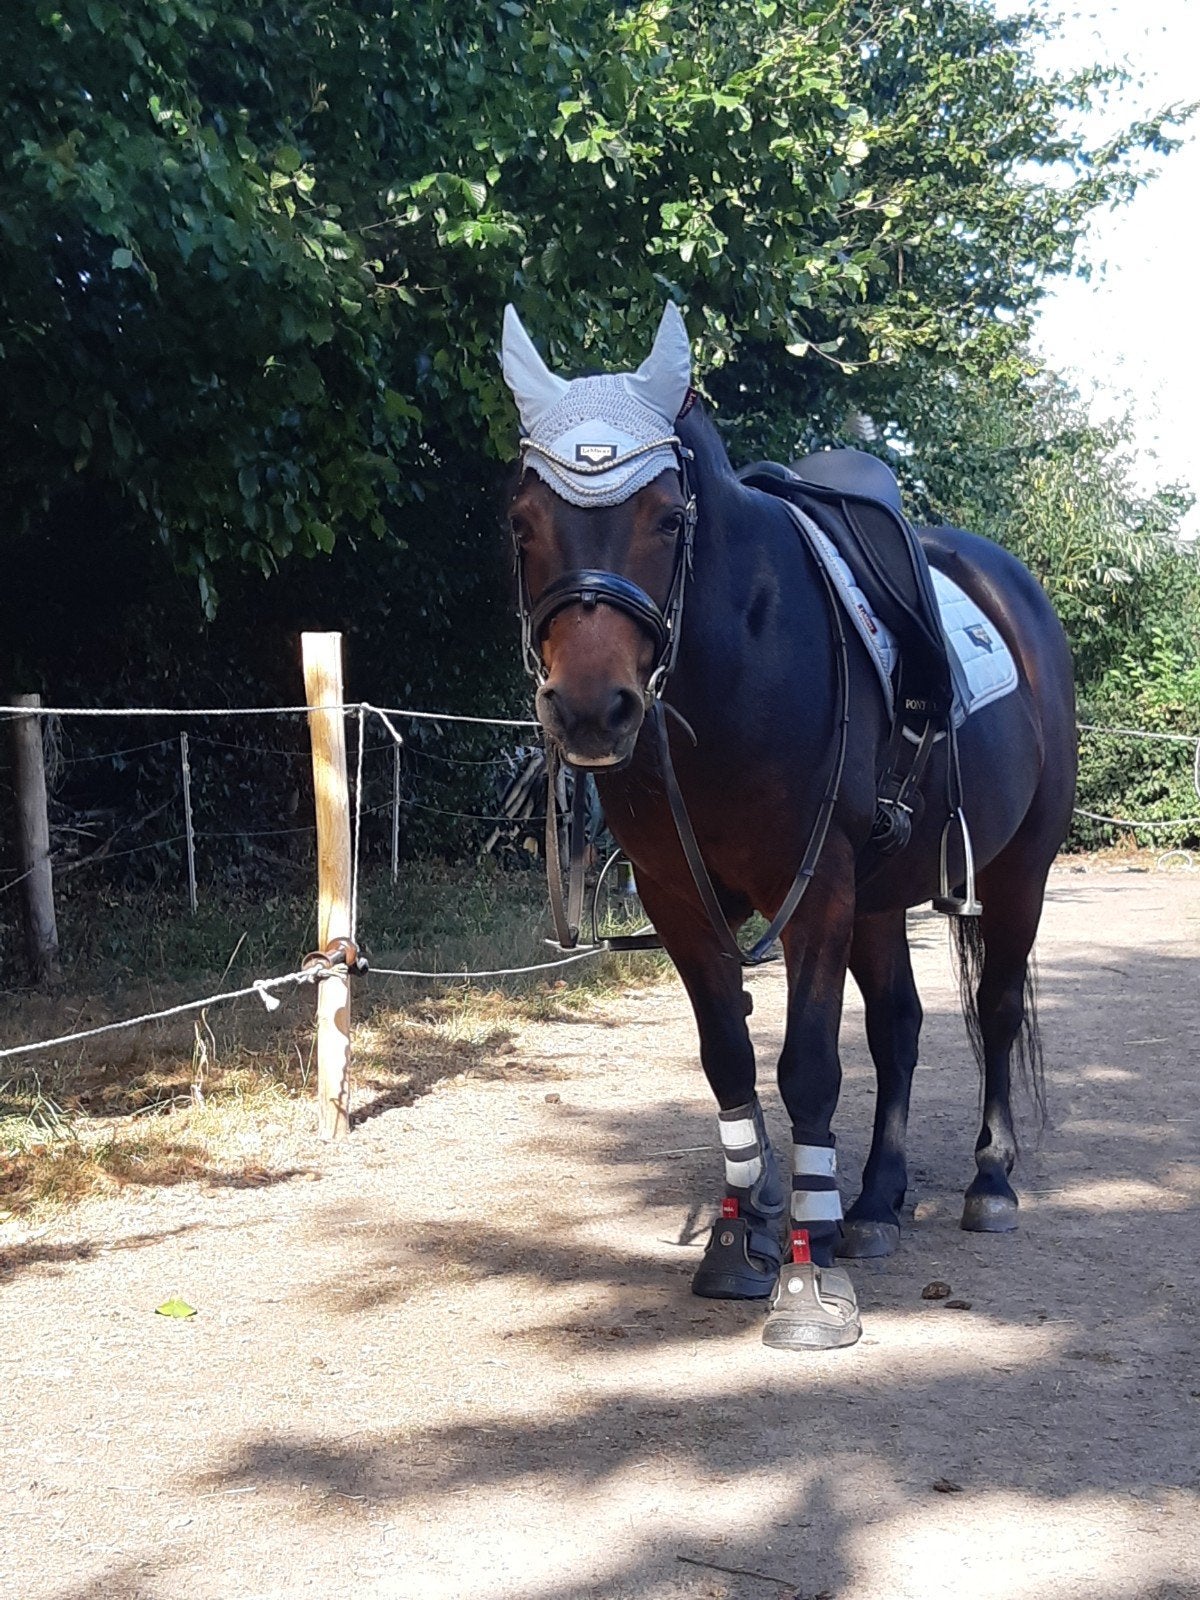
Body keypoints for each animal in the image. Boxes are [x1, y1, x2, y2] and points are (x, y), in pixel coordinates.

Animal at [500, 302, 1077, 1350]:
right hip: (885, 900)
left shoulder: (817, 894)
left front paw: (806, 1281)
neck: (734, 667)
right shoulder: (681, 899)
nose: (593, 710)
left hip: (1019, 875)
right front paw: (741, 1240)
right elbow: (729, 1057)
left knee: (997, 1009)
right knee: (899, 1026)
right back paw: (877, 1203)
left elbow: (807, 1068)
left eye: (668, 517)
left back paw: (989, 1182)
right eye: (521, 523)